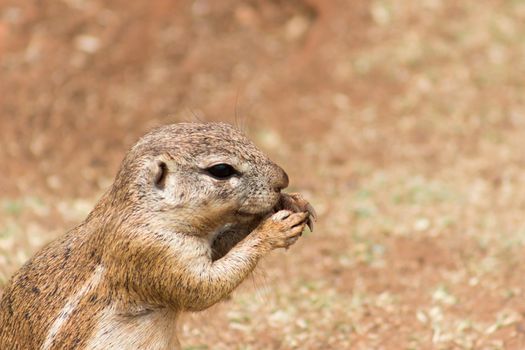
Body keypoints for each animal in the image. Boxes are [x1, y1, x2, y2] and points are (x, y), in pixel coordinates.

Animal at [0, 123, 316, 350]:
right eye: (221, 170)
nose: (283, 179)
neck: (144, 208)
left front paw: (292, 202)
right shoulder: (154, 251)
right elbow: (203, 287)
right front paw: (273, 229)